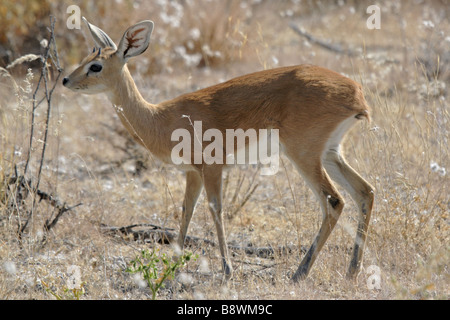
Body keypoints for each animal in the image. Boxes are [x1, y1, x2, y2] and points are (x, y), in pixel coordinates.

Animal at [61, 18, 374, 282]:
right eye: (87, 57)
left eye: (96, 66)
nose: (65, 80)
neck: (159, 117)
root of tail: (357, 93)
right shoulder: (193, 173)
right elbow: (186, 210)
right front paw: (173, 266)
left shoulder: (212, 168)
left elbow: (215, 209)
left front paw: (226, 270)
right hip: (330, 153)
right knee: (365, 192)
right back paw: (352, 272)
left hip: (304, 155)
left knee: (334, 201)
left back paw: (299, 273)